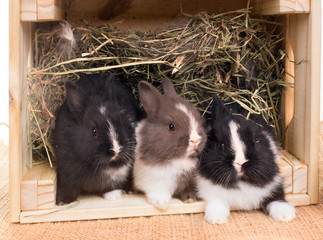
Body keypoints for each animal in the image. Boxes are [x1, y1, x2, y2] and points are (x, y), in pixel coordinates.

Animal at [54, 73, 142, 204]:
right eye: (94, 131)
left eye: (120, 122)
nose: (116, 150)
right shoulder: (66, 173)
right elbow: (69, 186)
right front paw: (62, 201)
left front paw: (112, 195)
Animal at [134, 79, 208, 210]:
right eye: (171, 126)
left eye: (200, 121)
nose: (195, 140)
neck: (179, 159)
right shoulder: (153, 179)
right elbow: (158, 190)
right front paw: (161, 203)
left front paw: (190, 198)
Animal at [197, 94, 296, 223]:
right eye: (221, 146)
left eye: (254, 142)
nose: (240, 162)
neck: (241, 181)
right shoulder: (210, 191)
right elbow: (217, 202)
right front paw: (216, 219)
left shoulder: (273, 185)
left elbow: (276, 197)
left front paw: (285, 215)